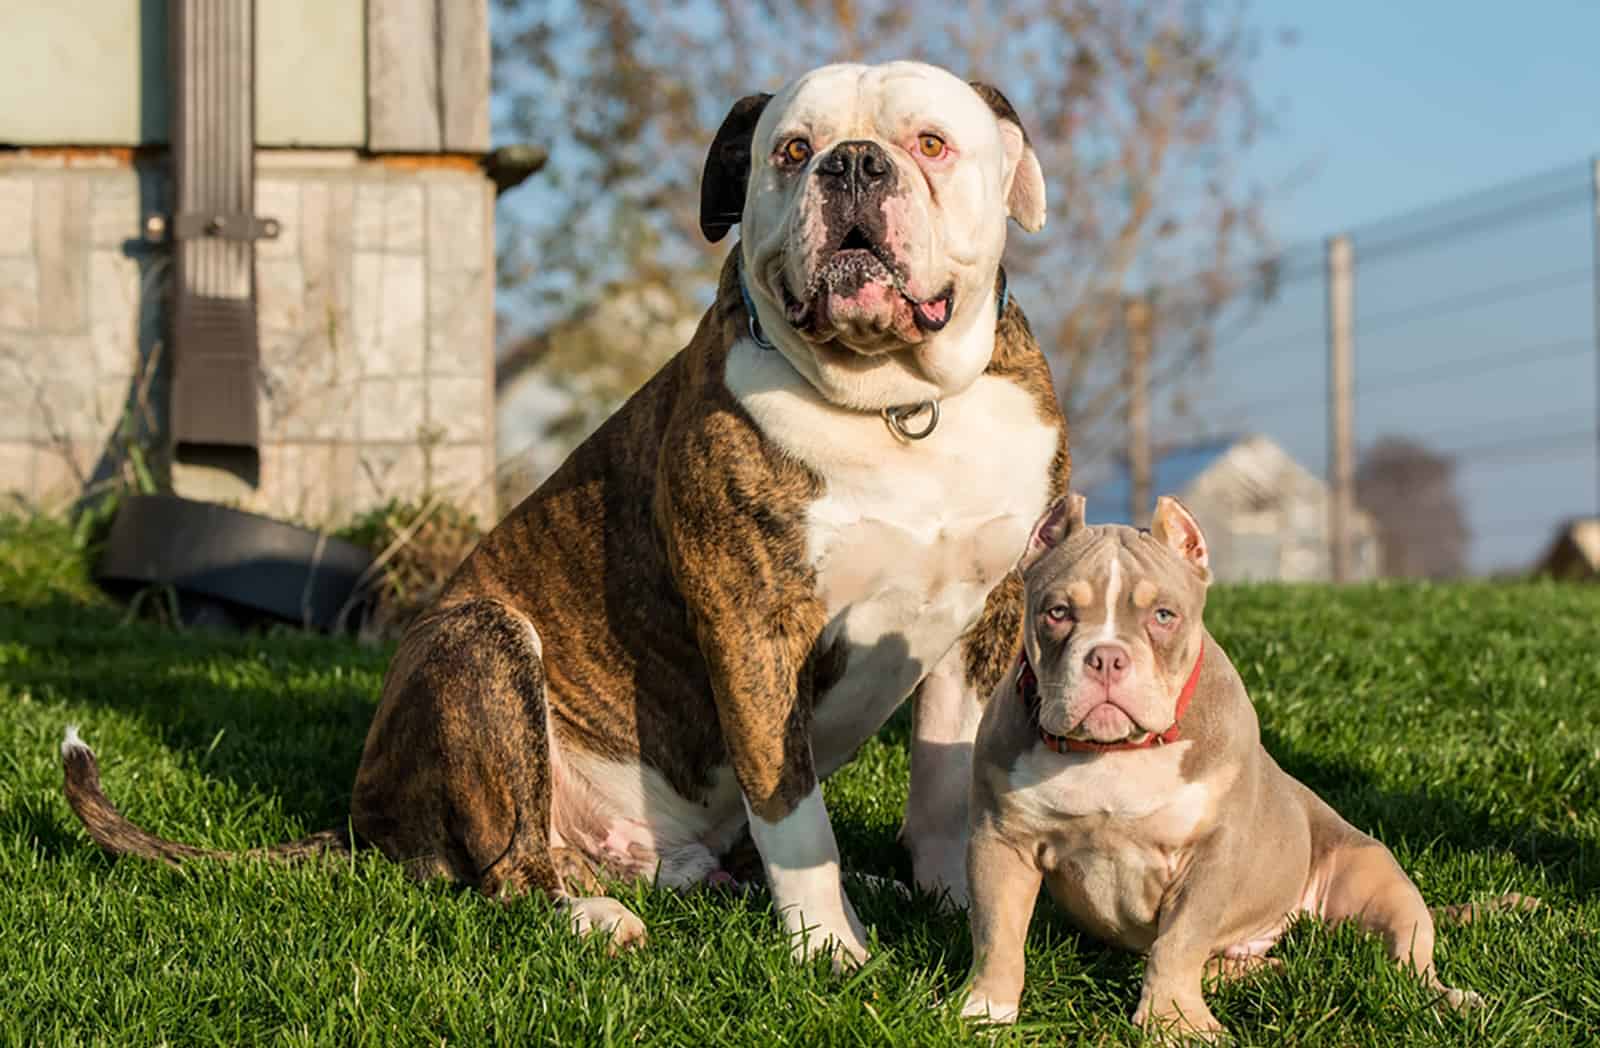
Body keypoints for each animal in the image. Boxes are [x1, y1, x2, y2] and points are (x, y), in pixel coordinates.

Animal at [56, 61, 1068, 972]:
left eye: (930, 144)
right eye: (791, 150)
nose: (853, 164)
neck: (896, 406)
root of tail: (365, 820)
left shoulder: (982, 618)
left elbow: (944, 781)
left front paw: (951, 898)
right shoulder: (754, 629)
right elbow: (794, 810)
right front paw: (828, 947)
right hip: (482, 642)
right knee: (508, 865)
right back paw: (587, 913)